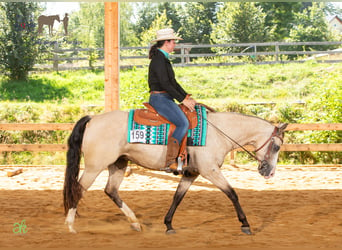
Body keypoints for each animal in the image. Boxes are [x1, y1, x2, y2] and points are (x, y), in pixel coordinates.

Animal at [62, 105, 288, 234]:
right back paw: (70, 226)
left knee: (110, 190)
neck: (217, 132)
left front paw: (168, 224)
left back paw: (135, 223)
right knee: (78, 189)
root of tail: (92, 119)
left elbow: (178, 197)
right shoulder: (210, 170)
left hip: (118, 163)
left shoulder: (191, 173)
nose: (270, 172)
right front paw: (245, 224)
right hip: (94, 167)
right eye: (277, 146)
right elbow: (232, 193)